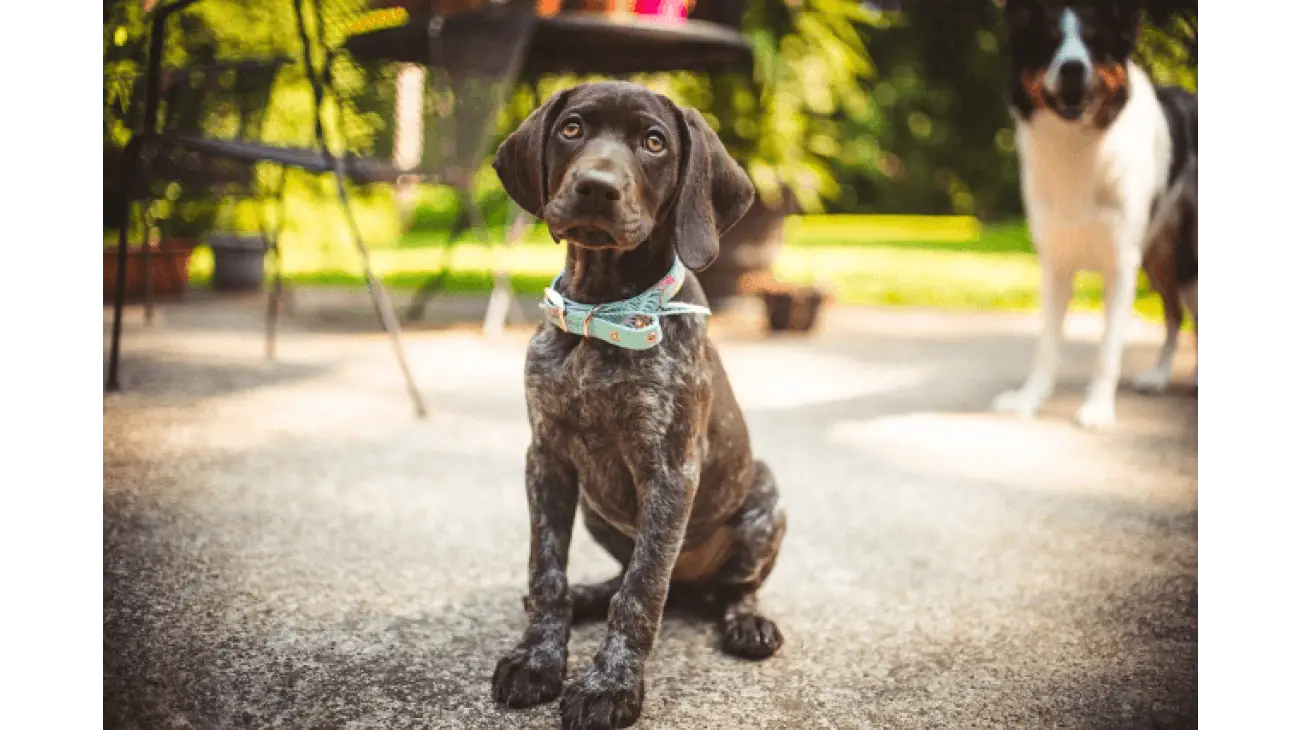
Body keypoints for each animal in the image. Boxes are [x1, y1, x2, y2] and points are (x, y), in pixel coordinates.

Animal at [488, 80, 785, 727]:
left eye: (654, 142)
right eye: (572, 128)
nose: (597, 186)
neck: (602, 311)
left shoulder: (669, 473)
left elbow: (643, 591)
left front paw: (610, 686)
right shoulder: (546, 460)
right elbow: (547, 570)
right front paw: (537, 658)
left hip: (766, 503)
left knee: (731, 588)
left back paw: (747, 621)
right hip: (598, 511)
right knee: (618, 574)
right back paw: (587, 595)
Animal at [993, 0, 1196, 426]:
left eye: (1094, 42)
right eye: (1049, 41)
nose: (1072, 67)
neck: (1079, 145)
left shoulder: (1121, 265)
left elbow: (1108, 349)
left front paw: (1098, 408)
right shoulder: (1055, 263)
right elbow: (1046, 345)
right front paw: (1029, 400)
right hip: (1159, 256)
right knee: (1174, 313)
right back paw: (1158, 376)